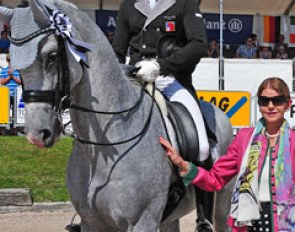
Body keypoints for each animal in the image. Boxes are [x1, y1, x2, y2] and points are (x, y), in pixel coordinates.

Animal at [0, 0, 236, 231]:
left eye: (52, 56)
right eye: (14, 61)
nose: (37, 134)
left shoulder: (142, 222)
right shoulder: (91, 223)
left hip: (222, 202)